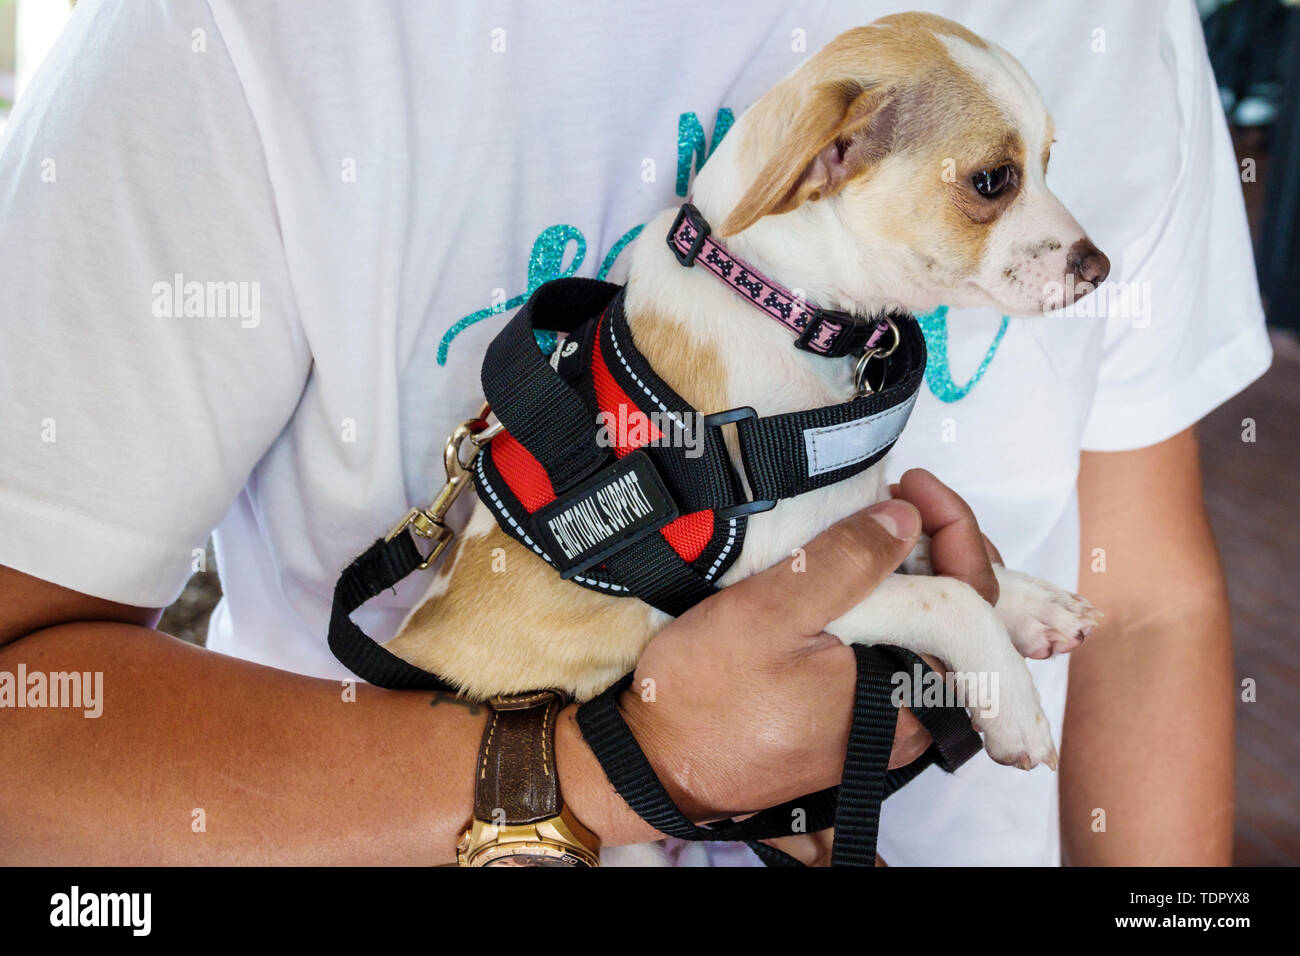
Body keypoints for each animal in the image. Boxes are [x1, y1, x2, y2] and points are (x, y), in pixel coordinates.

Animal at [387, 13, 1107, 780]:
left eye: (1049, 161)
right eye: (993, 180)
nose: (1101, 268)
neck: (782, 308)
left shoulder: (851, 512)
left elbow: (939, 559)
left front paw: (1030, 604)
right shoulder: (775, 582)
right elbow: (950, 595)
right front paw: (1014, 699)